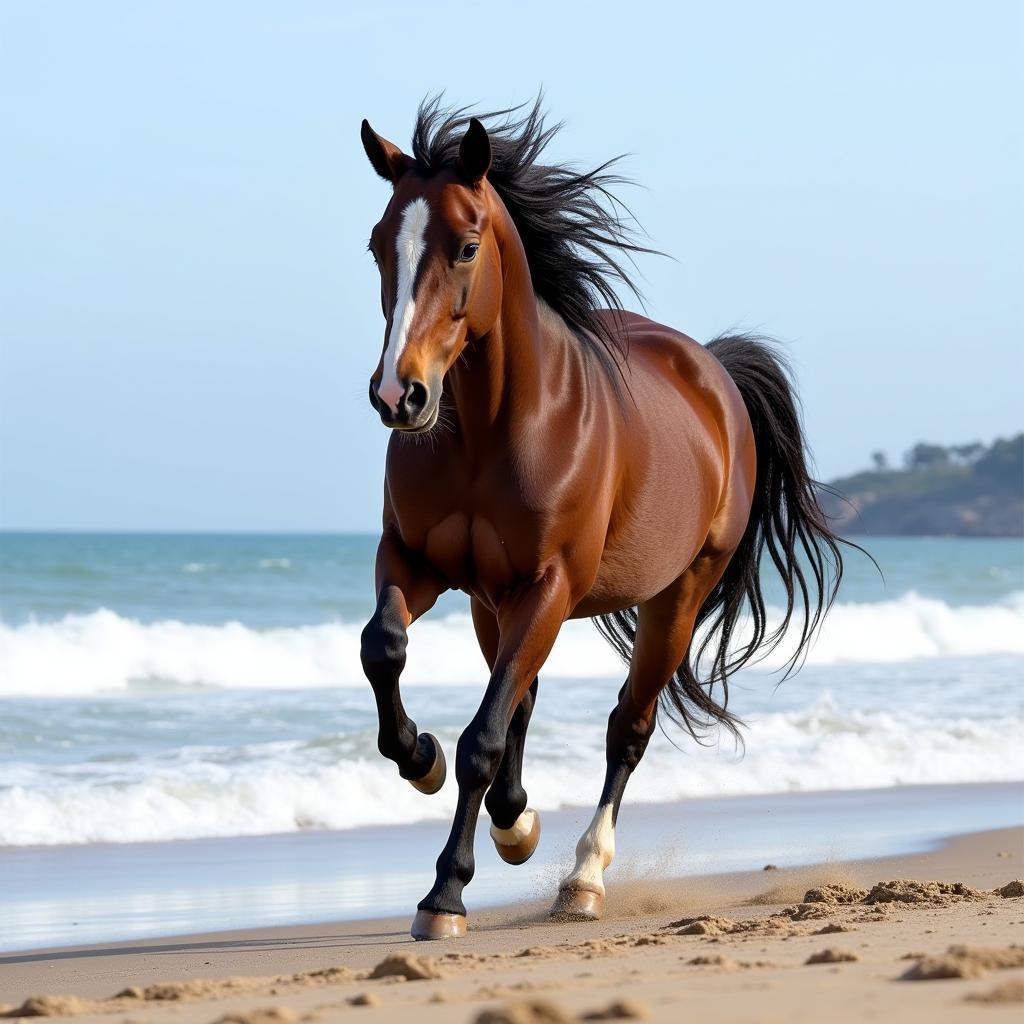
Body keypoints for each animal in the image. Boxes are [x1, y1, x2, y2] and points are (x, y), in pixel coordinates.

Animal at [356, 99, 843, 937]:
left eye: (466, 247)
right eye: (378, 246)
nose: (399, 396)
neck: (490, 429)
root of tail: (712, 371)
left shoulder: (549, 585)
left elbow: (483, 737)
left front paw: (444, 894)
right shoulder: (416, 563)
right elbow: (384, 649)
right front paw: (421, 760)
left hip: (675, 598)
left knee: (627, 729)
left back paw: (582, 879)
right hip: (493, 600)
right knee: (522, 694)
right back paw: (516, 824)